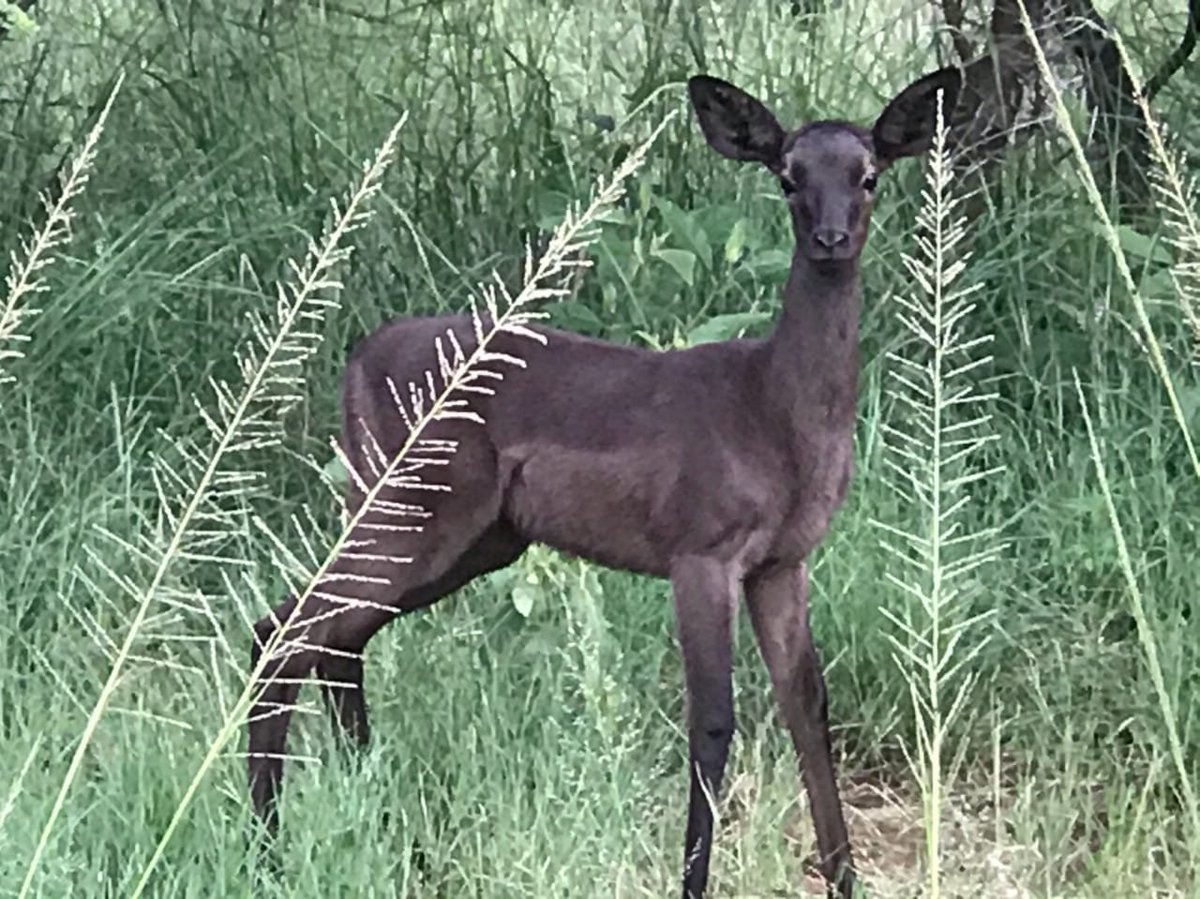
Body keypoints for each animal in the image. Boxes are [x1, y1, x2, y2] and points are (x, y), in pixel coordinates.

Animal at [248, 64, 962, 898]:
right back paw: (268, 849)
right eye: (788, 175)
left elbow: (807, 705)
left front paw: (847, 880)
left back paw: (385, 837)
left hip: (473, 535)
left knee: (336, 634)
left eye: (869, 173)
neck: (773, 413)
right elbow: (713, 719)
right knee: (285, 627)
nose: (830, 238)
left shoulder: (782, 560)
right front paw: (691, 882)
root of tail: (358, 362)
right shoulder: (701, 549)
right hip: (418, 506)